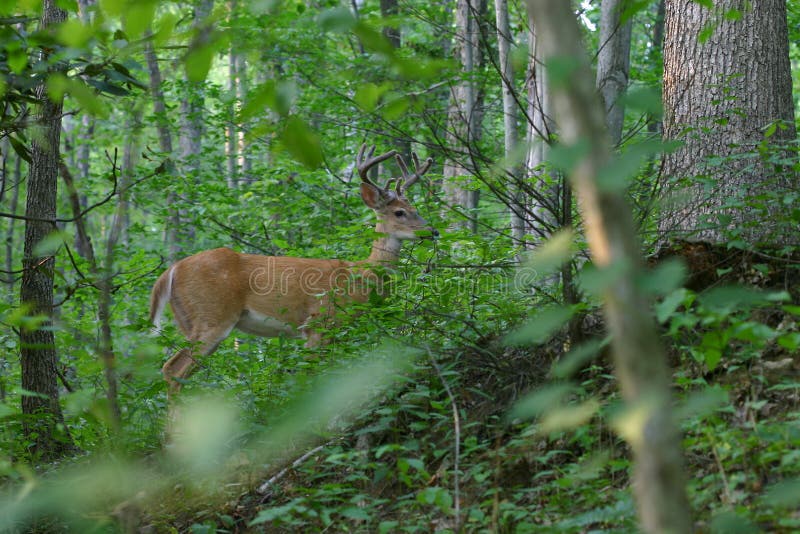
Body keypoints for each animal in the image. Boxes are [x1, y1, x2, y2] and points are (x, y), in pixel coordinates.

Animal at [150, 146, 438, 398]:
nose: (433, 230)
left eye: (416, 209)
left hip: (192, 322)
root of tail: (170, 271)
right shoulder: (318, 323)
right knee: (172, 369)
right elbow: (310, 377)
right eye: (399, 212)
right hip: (212, 316)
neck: (361, 277)